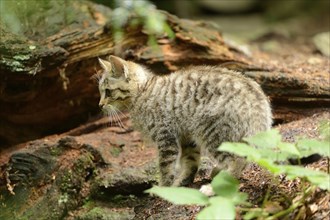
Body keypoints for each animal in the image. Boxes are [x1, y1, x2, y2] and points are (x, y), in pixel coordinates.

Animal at [96, 55, 272, 186]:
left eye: (108, 92)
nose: (100, 105)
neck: (143, 91)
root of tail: (259, 102)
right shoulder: (186, 137)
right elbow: (191, 162)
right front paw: (182, 182)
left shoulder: (165, 137)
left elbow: (165, 168)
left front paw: (163, 189)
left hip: (214, 133)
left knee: (238, 160)